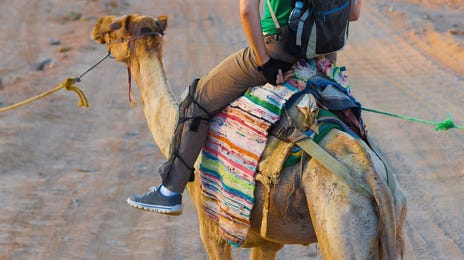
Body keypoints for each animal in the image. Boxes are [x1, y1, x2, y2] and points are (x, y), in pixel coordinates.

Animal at [90, 14, 406, 260]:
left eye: (116, 25)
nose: (97, 26)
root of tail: (374, 179)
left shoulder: (211, 225)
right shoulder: (269, 240)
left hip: (341, 226)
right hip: (391, 226)